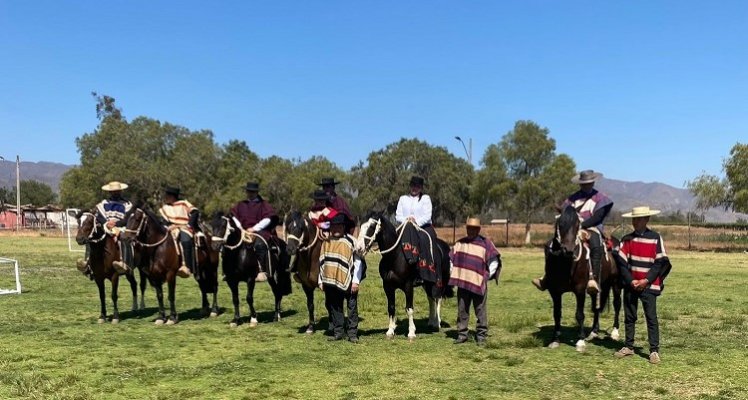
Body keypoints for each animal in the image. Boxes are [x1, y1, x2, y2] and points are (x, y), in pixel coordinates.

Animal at [360, 211, 452, 340]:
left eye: (372, 227)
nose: (359, 248)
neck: (395, 257)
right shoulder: (387, 286)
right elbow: (391, 307)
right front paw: (390, 330)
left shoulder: (408, 286)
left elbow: (409, 309)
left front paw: (411, 332)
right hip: (426, 284)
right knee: (431, 299)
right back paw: (431, 322)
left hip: (441, 282)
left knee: (438, 298)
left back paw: (437, 323)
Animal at [544, 205, 620, 352]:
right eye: (560, 223)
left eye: (577, 224)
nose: (568, 250)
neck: (565, 264)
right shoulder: (555, 291)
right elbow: (557, 313)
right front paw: (555, 339)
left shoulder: (580, 290)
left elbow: (579, 314)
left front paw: (580, 341)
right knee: (596, 307)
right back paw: (593, 332)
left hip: (616, 283)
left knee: (617, 304)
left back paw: (615, 332)